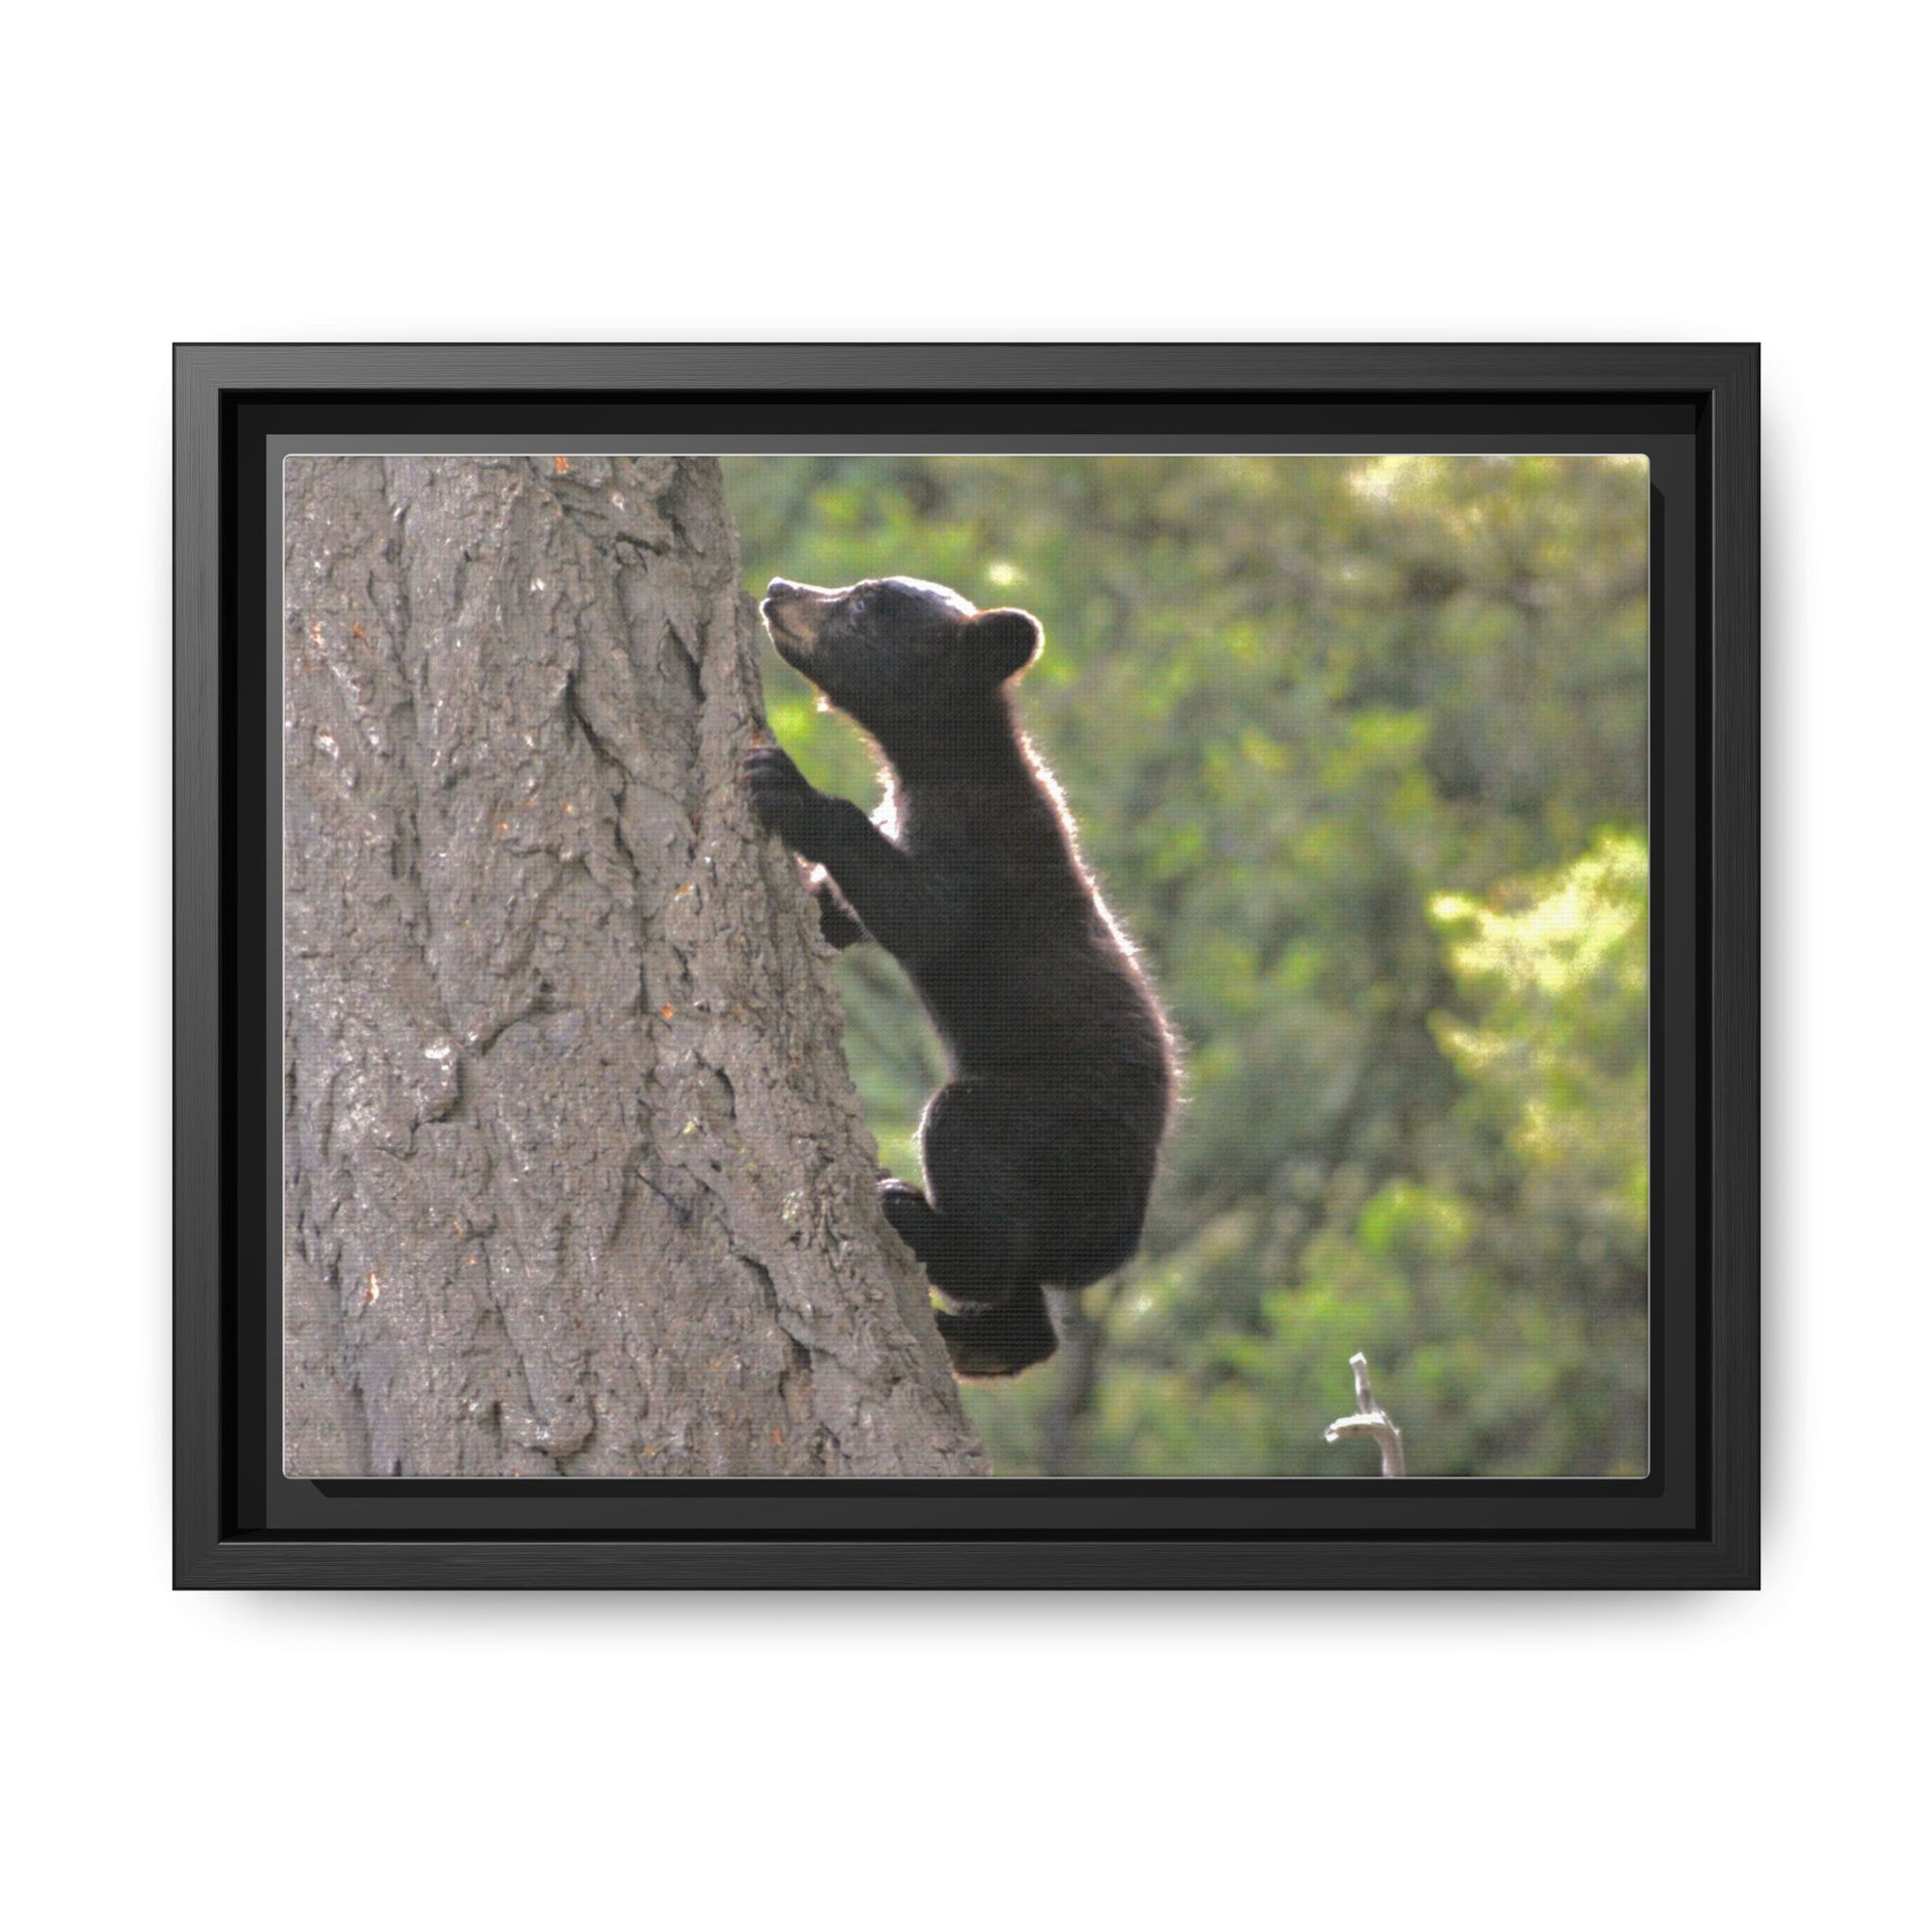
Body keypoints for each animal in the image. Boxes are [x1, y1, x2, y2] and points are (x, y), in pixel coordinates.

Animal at [744, 574, 1176, 1378]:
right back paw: (981, 1340)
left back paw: (910, 1213)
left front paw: (785, 784)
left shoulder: (981, 849)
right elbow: (840, 910)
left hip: (1046, 1124)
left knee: (972, 1164)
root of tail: (1118, 1240)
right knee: (1023, 1294)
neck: (941, 761)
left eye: (863, 604)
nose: (780, 589)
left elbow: (922, 917)